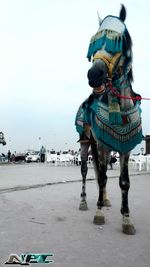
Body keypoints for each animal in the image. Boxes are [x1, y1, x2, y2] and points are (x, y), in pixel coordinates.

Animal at [75, 3, 142, 234]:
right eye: (94, 42)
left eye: (120, 41)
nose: (94, 74)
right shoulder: (102, 144)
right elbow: (103, 176)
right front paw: (98, 213)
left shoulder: (125, 147)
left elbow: (124, 182)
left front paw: (127, 219)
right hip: (87, 142)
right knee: (87, 171)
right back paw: (85, 201)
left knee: (98, 172)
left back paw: (104, 199)